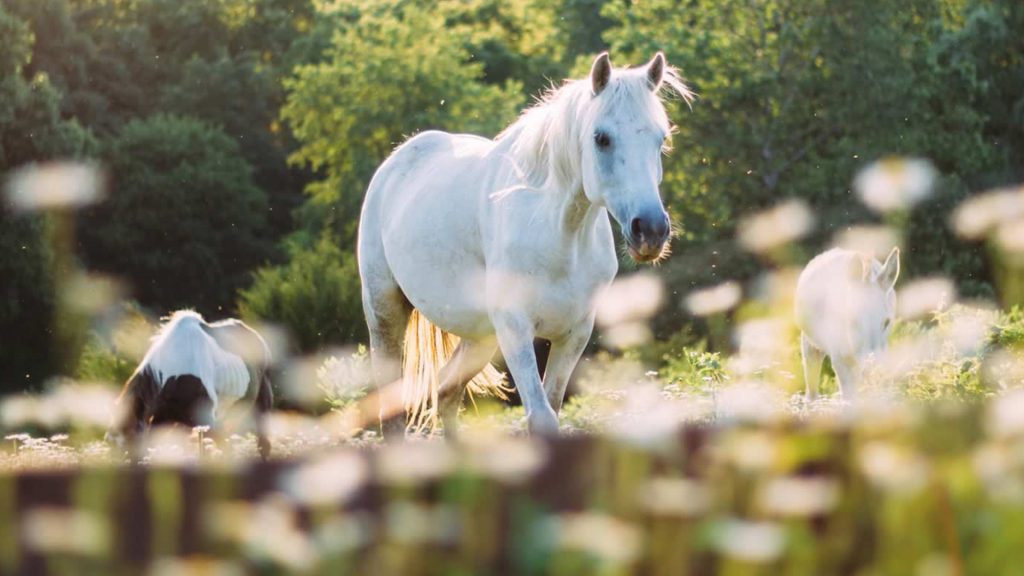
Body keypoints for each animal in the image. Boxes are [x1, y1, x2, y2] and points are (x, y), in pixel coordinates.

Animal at [356, 52, 692, 434]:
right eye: (601, 138)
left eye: (660, 139)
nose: (650, 230)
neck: (559, 237)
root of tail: (396, 161)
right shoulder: (515, 328)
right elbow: (541, 416)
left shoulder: (574, 333)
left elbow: (553, 406)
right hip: (385, 312)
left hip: (481, 337)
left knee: (447, 392)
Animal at [794, 247, 901, 399]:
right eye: (852, 320)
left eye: (887, 322)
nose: (873, 370)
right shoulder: (839, 361)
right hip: (811, 346)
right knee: (812, 391)